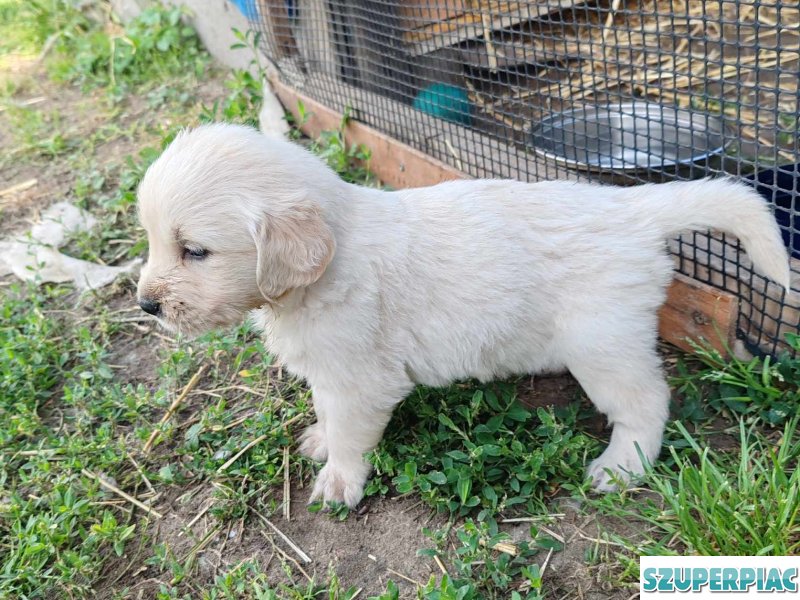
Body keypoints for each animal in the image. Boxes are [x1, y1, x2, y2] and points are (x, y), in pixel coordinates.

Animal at [134, 124, 792, 508]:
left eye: (195, 251)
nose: (146, 304)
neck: (327, 266)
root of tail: (632, 211)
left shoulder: (359, 381)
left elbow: (350, 433)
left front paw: (340, 482)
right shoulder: (332, 374)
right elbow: (326, 416)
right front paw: (319, 440)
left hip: (603, 344)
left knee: (648, 403)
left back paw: (622, 468)